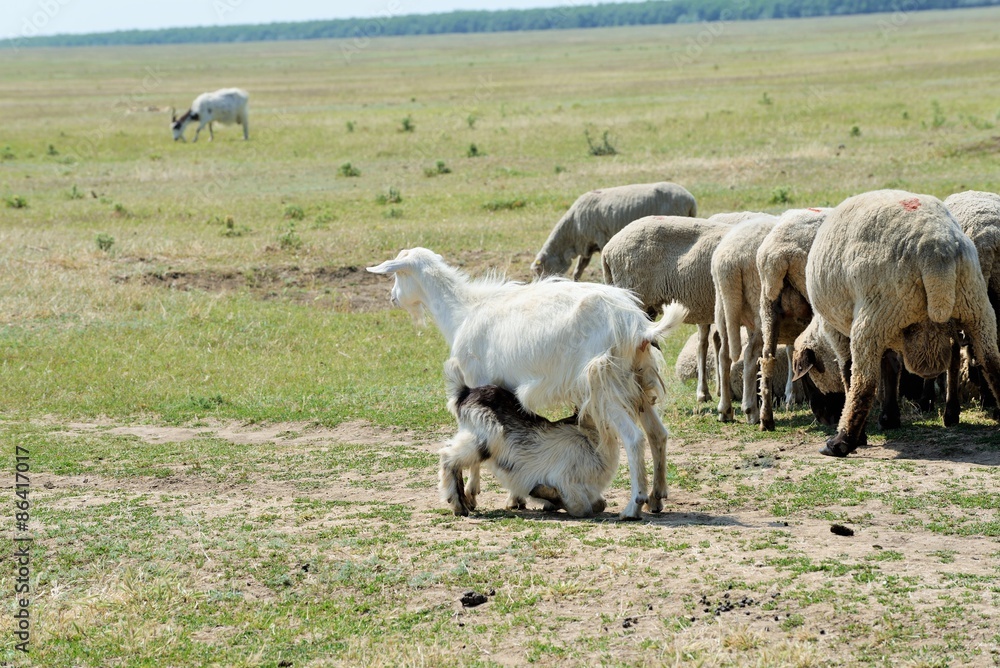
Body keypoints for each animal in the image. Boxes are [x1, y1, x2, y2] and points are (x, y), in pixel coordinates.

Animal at [440, 360, 616, 516]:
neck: (590, 437)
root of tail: (464, 393)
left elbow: (600, 504)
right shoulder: (566, 482)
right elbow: (582, 508)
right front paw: (545, 495)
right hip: (483, 441)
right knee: (448, 458)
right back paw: (459, 506)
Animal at [804, 190, 1000, 456]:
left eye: (808, 379)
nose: (822, 417)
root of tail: (936, 251)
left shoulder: (836, 329)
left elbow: (849, 371)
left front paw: (869, 429)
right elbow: (891, 365)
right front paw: (890, 417)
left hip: (874, 314)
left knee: (864, 381)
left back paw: (842, 441)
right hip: (975, 305)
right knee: (991, 363)